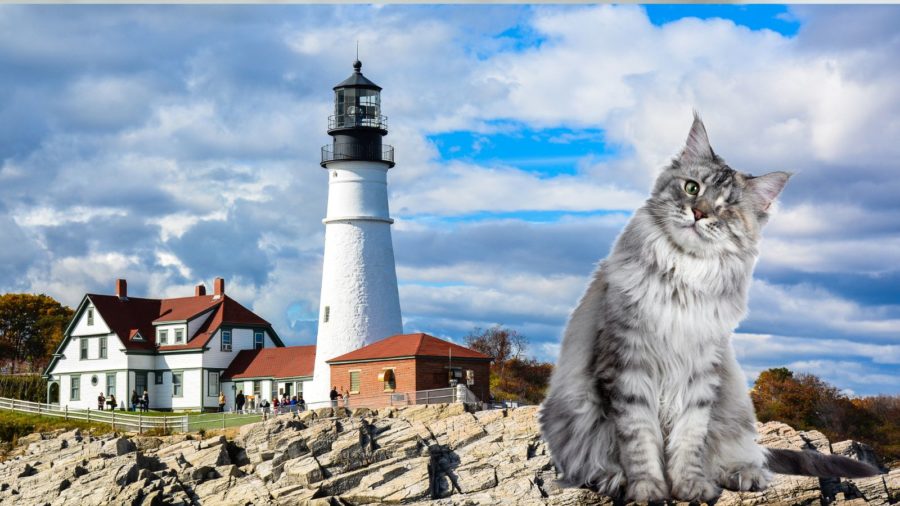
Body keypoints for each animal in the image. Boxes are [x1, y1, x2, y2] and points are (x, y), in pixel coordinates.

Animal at [536, 113, 876, 502]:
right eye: (692, 188)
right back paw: (611, 479)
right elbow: (639, 441)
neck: (684, 274)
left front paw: (690, 487)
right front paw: (648, 488)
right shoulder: (627, 366)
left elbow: (689, 439)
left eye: (727, 206)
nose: (698, 213)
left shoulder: (700, 372)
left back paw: (741, 475)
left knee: (746, 454)